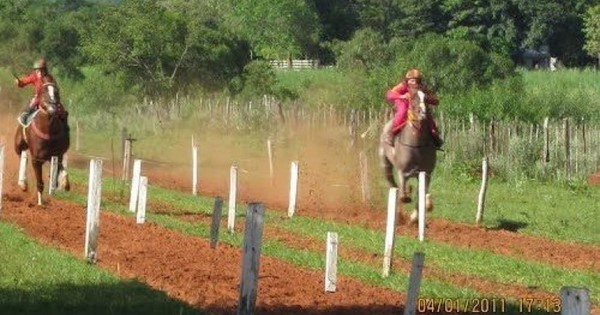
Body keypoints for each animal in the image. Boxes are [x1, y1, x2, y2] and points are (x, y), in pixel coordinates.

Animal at [380, 94, 436, 225]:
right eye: (413, 98)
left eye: (426, 98)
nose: (423, 112)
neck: (416, 145)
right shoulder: (403, 172)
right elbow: (403, 195)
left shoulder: (426, 174)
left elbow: (421, 195)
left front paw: (415, 217)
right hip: (385, 164)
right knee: (394, 185)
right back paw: (398, 215)